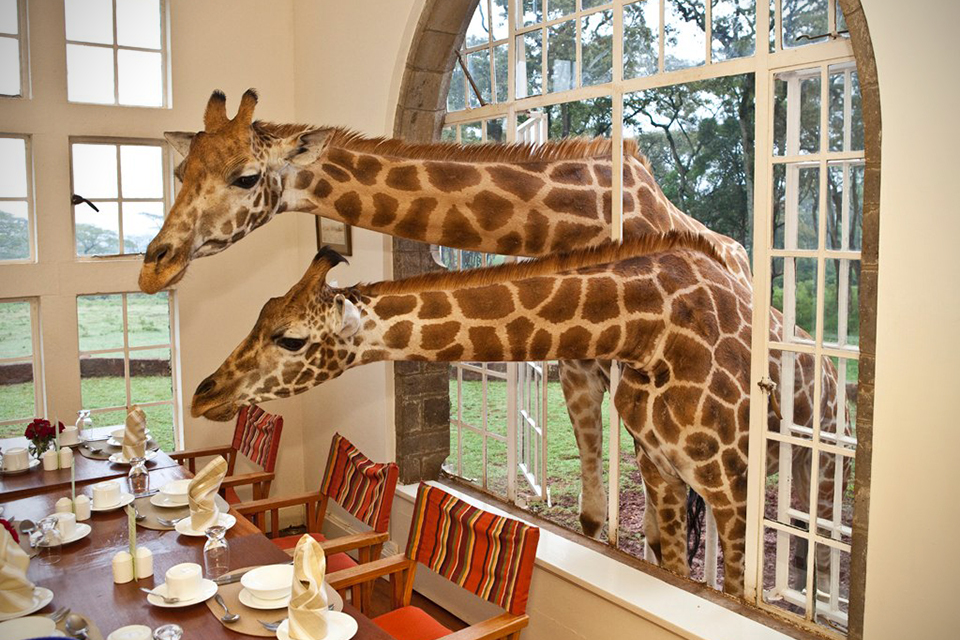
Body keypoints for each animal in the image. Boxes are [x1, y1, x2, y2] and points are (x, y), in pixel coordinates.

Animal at [138, 89, 755, 539]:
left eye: (245, 177)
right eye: (180, 173)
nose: (152, 268)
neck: (578, 216)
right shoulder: (577, 372)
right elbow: (595, 516)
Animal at [190, 235, 842, 598]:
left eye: (291, 338)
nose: (202, 394)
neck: (648, 330)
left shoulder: (731, 483)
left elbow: (728, 583)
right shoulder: (661, 470)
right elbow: (678, 570)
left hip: (817, 460)